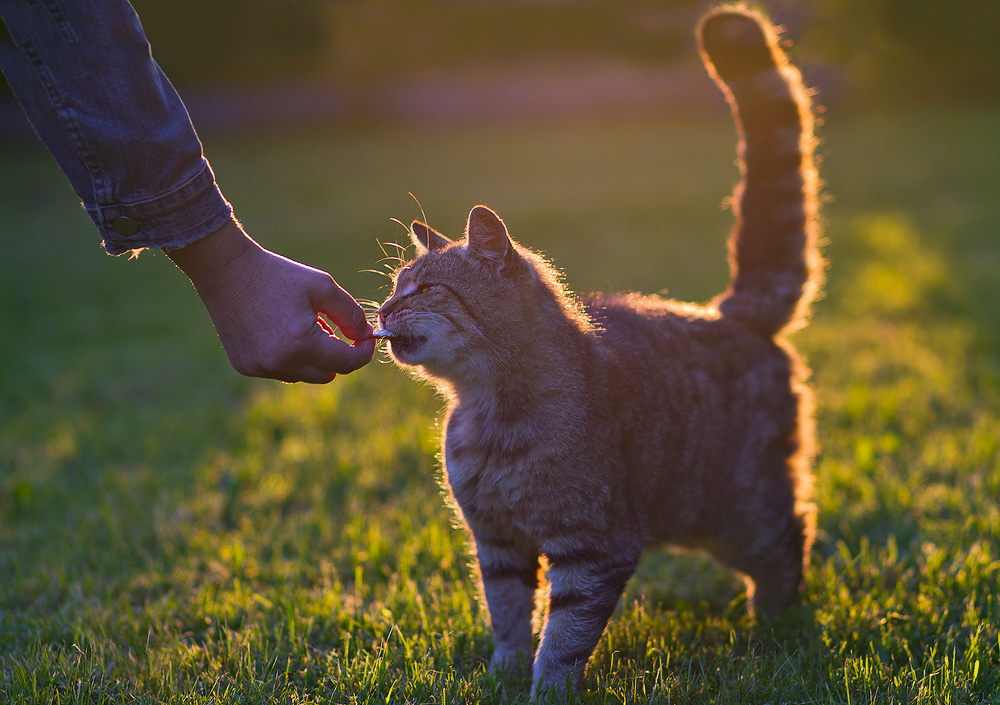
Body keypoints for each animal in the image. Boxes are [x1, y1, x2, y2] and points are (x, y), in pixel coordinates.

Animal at [376, 4, 820, 700]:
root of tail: (732, 312)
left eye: (425, 288)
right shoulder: (496, 543)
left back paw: (775, 623)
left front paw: (546, 690)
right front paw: (504, 673)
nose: (382, 311)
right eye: (396, 286)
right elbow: (508, 615)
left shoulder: (593, 547)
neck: (489, 414)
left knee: (791, 535)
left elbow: (564, 636)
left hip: (741, 512)